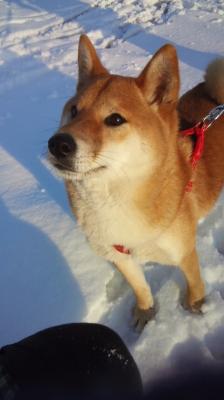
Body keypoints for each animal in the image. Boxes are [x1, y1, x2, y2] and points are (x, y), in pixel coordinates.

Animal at [47, 34, 224, 330]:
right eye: (73, 110)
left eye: (115, 119)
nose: (58, 144)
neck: (114, 200)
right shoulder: (119, 256)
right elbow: (140, 288)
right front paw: (145, 311)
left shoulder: (184, 252)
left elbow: (195, 285)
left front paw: (196, 307)